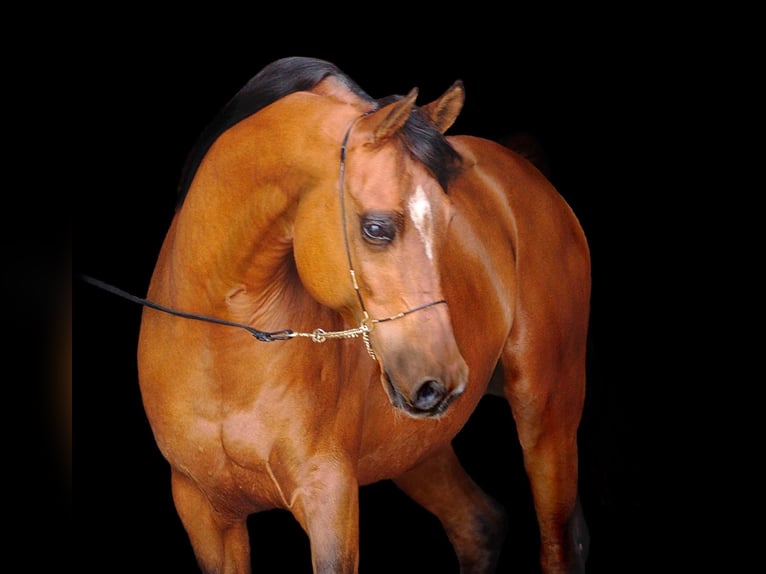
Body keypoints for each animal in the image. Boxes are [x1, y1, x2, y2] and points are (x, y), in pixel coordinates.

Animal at [136, 56, 592, 572]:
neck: (223, 349)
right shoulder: (203, 510)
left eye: (450, 220)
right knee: (480, 525)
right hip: (417, 448)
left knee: (557, 544)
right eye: (376, 228)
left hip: (547, 410)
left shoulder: (328, 495)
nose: (444, 379)